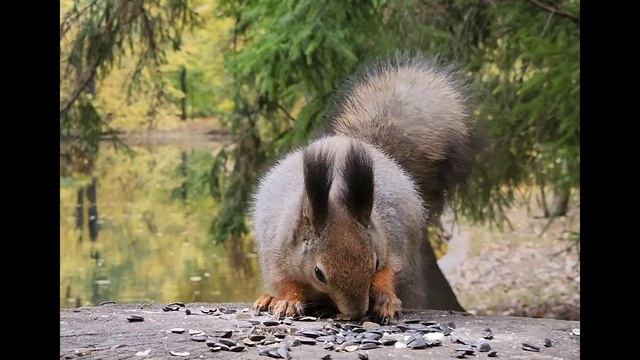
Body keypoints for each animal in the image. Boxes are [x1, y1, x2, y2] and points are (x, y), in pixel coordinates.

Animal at [250, 54, 476, 324]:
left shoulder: (390, 241)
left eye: (374, 262)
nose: (357, 313)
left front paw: (386, 300)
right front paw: (288, 302)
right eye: (318, 273)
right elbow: (287, 283)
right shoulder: (280, 255)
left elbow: (389, 272)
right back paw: (268, 298)